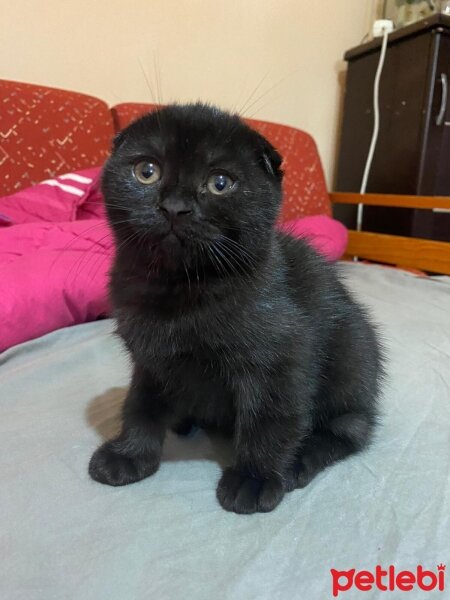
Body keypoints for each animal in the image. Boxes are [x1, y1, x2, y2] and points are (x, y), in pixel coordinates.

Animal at [90, 101, 384, 512]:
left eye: (220, 182)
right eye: (146, 171)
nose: (174, 207)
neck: (181, 290)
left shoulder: (280, 357)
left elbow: (267, 417)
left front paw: (254, 478)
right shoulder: (149, 359)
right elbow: (140, 403)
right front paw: (129, 454)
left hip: (352, 354)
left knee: (350, 428)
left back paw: (300, 460)